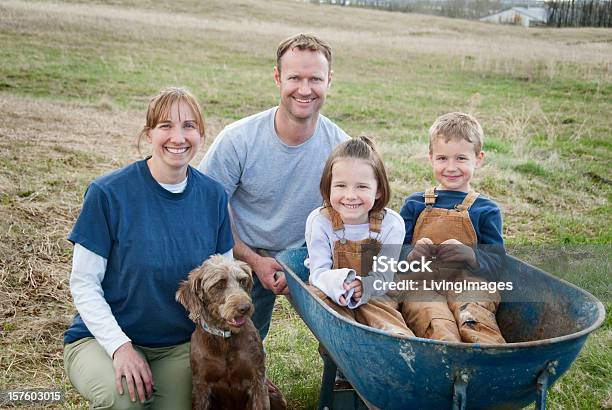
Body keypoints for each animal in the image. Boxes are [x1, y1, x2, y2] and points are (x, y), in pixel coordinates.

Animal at [175, 255, 284, 408]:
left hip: (275, 394)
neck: (224, 337)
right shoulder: (200, 386)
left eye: (242, 281)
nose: (245, 308)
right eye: (219, 284)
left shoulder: (258, 380)